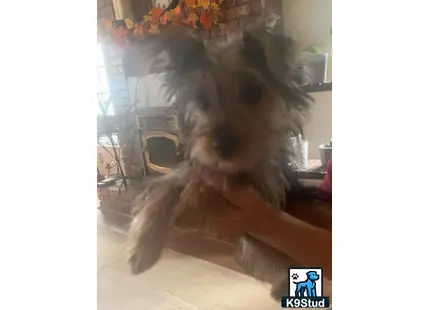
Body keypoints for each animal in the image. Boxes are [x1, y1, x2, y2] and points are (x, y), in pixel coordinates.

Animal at [126, 24, 320, 300]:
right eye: (202, 100)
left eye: (253, 92)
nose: (220, 146)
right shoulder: (190, 168)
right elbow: (166, 187)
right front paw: (141, 249)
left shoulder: (263, 183)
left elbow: (211, 186)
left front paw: (193, 202)